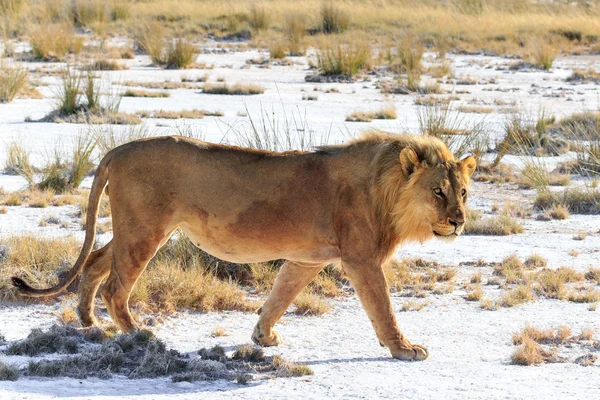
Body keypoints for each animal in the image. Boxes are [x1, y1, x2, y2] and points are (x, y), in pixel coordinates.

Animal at [11, 131, 476, 360]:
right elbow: (383, 308)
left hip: (136, 230)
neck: (387, 188)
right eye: (437, 192)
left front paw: (262, 336)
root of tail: (119, 149)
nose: (459, 222)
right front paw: (404, 349)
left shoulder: (306, 259)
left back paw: (88, 322)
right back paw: (140, 335)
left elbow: (280, 296)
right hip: (146, 230)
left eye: (464, 192)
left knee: (94, 261)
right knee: (115, 286)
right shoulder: (361, 259)